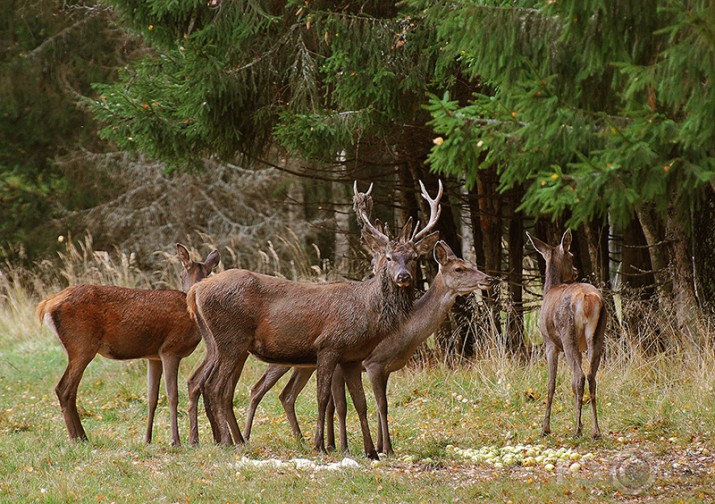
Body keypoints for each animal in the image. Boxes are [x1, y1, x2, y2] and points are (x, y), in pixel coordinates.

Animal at [36, 244, 220, 444]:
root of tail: (46, 305)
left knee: (71, 390)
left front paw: (147, 439)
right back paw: (76, 438)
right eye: (180, 274)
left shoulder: (154, 356)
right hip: (81, 345)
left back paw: (82, 437)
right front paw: (175, 441)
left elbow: (152, 397)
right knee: (63, 388)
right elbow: (172, 395)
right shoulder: (170, 349)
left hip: (78, 348)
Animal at [185, 180, 442, 456]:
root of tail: (196, 290)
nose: (403, 276)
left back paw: (225, 440)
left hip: (218, 344)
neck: (366, 312)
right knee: (215, 387)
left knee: (207, 384)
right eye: (390, 258)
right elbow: (323, 398)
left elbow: (361, 402)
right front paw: (321, 445)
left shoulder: (353, 358)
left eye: (414, 258)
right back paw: (226, 441)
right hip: (231, 340)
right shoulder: (328, 346)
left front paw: (371, 451)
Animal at [243, 238, 496, 454]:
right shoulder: (371, 363)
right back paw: (247, 437)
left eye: (470, 263)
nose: (489, 279)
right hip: (283, 360)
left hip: (303, 365)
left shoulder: (385, 367)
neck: (405, 332)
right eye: (459, 269)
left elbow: (376, 404)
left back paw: (300, 441)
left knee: (286, 395)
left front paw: (374, 446)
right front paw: (367, 447)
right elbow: (355, 405)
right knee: (258, 389)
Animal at [528, 230, 608, 440]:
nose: (575, 270)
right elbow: (571, 383)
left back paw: (577, 430)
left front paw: (545, 428)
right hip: (598, 334)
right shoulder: (579, 348)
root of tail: (588, 299)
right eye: (572, 256)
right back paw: (595, 431)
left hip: (567, 334)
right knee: (591, 376)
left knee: (580, 376)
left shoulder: (549, 343)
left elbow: (551, 383)